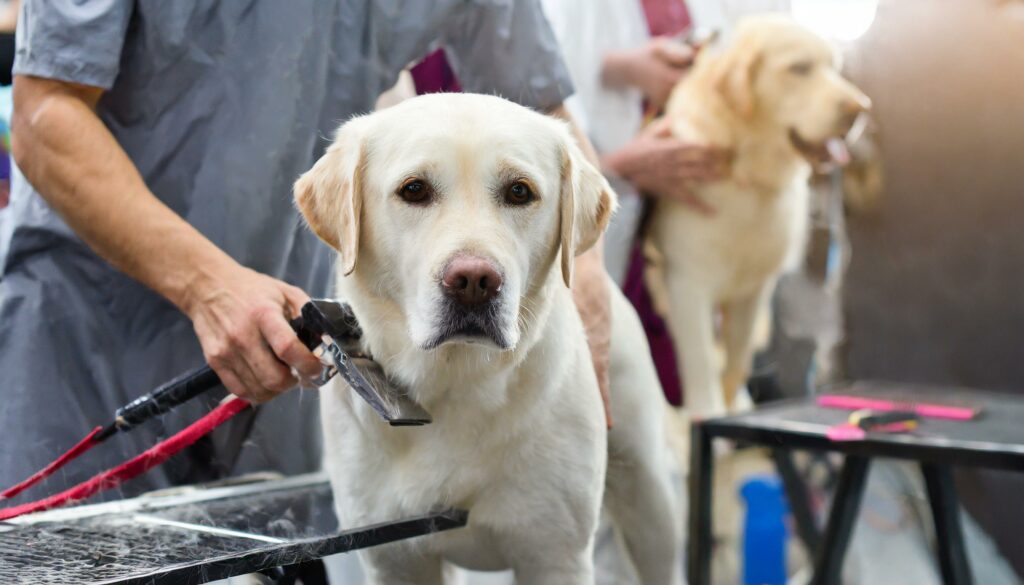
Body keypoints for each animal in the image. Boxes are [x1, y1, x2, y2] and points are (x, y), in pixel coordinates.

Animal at [292, 93, 684, 581]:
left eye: (519, 191)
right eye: (414, 190)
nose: (474, 281)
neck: (455, 383)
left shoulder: (556, 553)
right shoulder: (395, 557)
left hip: (649, 499)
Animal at [647, 16, 872, 418]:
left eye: (835, 67)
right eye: (799, 68)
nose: (860, 108)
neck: (747, 174)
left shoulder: (753, 290)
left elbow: (737, 361)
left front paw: (735, 405)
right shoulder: (687, 283)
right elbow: (702, 363)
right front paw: (708, 415)